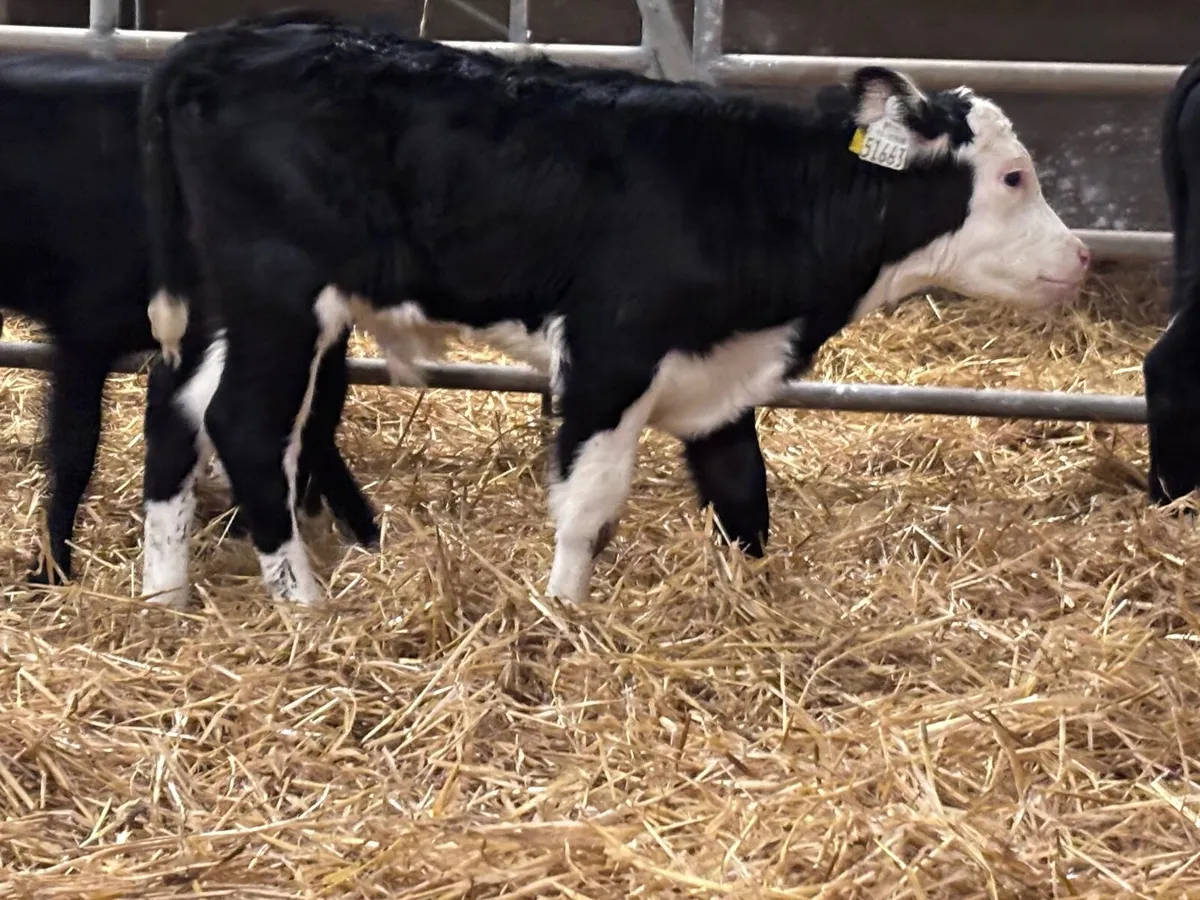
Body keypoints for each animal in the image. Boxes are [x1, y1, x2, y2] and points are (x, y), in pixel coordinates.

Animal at [138, 16, 1091, 610]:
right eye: (1014, 177)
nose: (1081, 257)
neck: (756, 195)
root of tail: (220, 43)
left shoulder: (720, 376)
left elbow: (744, 495)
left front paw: (752, 602)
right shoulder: (609, 353)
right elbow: (588, 502)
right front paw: (564, 614)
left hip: (223, 306)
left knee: (177, 414)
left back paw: (164, 592)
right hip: (279, 297)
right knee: (246, 426)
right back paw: (302, 603)